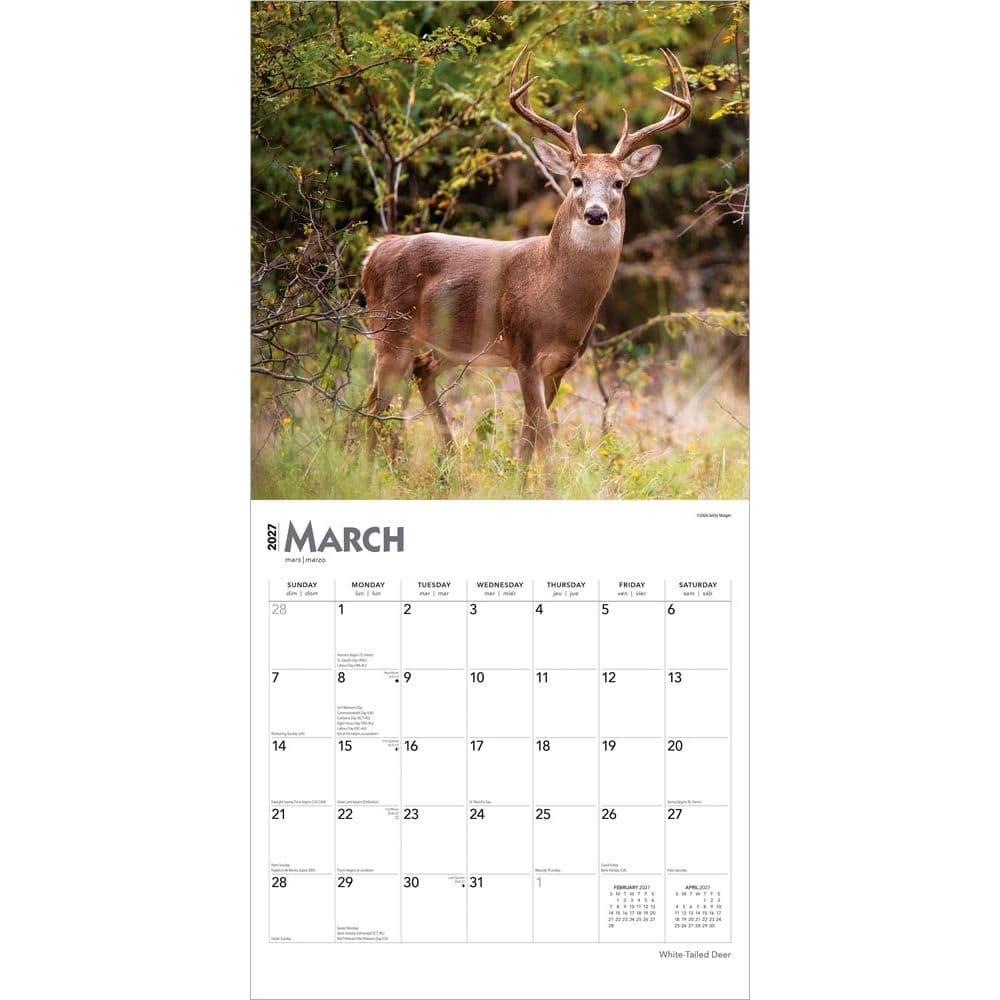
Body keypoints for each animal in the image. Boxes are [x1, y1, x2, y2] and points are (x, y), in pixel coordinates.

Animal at [360, 46, 691, 483]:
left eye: (619, 183)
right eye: (576, 180)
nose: (596, 214)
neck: (554, 292)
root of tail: (374, 252)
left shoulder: (560, 363)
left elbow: (529, 434)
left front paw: (519, 483)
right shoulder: (524, 349)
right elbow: (544, 433)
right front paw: (548, 486)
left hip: (449, 343)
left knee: (419, 374)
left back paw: (447, 462)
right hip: (390, 331)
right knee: (373, 406)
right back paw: (363, 469)